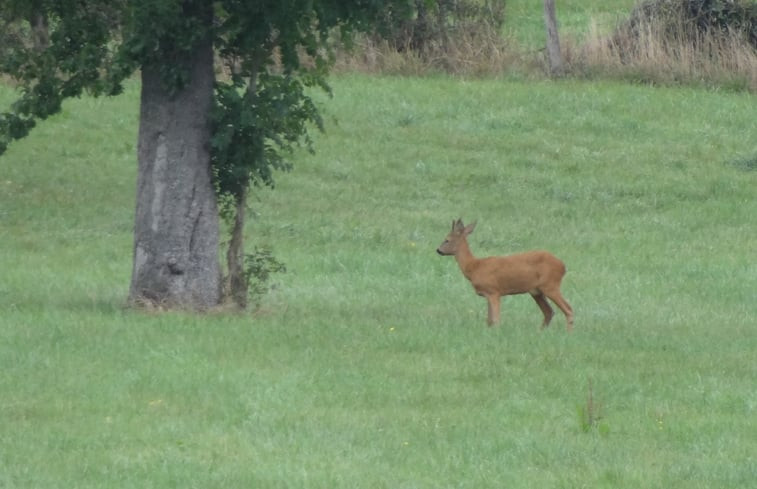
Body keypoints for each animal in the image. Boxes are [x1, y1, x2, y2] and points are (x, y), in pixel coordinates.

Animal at [438, 219, 572, 330]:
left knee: (568, 309)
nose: (438, 250)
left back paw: (568, 333)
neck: (474, 267)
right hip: (536, 291)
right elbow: (489, 321)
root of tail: (563, 266)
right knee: (549, 312)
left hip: (550, 285)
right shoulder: (488, 294)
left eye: (447, 240)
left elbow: (495, 320)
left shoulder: (494, 291)